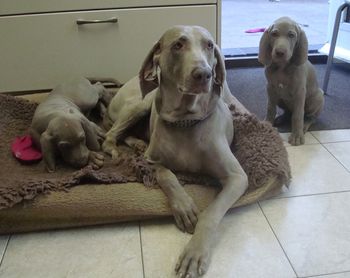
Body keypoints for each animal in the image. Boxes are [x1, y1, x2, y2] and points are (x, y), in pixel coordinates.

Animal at [102, 25, 247, 276]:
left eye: (210, 45)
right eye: (178, 45)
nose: (204, 74)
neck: (186, 121)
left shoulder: (237, 177)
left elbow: (211, 213)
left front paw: (194, 253)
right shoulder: (150, 162)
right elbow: (166, 174)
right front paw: (185, 207)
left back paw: (137, 143)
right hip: (142, 102)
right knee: (110, 135)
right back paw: (116, 150)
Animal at [258, 16, 324, 146]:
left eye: (291, 35)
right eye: (274, 34)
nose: (279, 52)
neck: (282, 67)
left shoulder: (300, 92)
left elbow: (298, 115)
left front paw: (297, 136)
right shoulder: (270, 88)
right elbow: (270, 108)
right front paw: (268, 124)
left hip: (318, 97)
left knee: (310, 117)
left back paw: (304, 125)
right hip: (280, 98)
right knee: (288, 113)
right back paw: (280, 118)